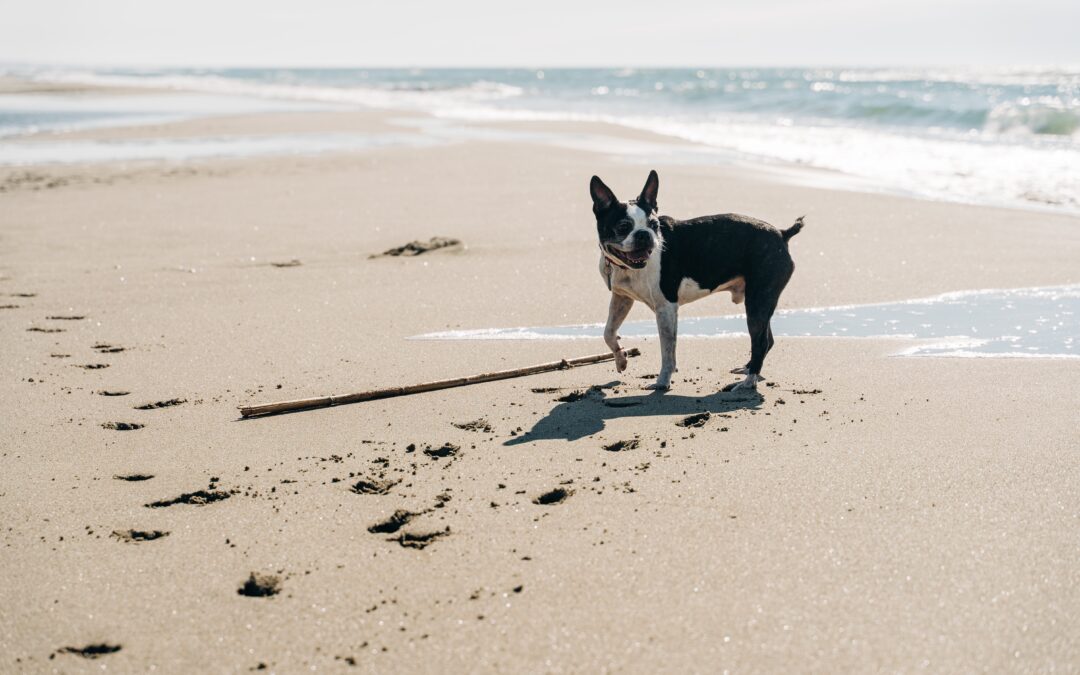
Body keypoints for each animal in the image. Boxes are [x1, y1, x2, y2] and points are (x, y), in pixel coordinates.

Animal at [591, 169, 803, 388]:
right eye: (623, 227)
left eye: (654, 225)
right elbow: (608, 332)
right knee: (768, 338)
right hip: (760, 301)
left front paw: (662, 381)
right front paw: (621, 359)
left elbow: (667, 350)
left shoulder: (666, 307)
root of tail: (782, 234)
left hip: (758, 300)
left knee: (760, 341)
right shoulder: (622, 297)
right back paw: (747, 368)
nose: (644, 234)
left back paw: (748, 382)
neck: (624, 267)